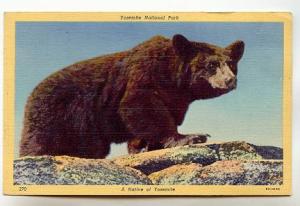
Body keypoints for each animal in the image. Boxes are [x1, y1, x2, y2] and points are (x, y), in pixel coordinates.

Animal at [19, 34, 244, 159]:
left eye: (231, 64)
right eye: (211, 65)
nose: (230, 80)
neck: (173, 77)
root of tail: (32, 93)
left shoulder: (176, 97)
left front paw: (142, 146)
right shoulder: (145, 73)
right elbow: (138, 105)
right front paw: (190, 136)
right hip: (55, 115)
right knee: (39, 142)